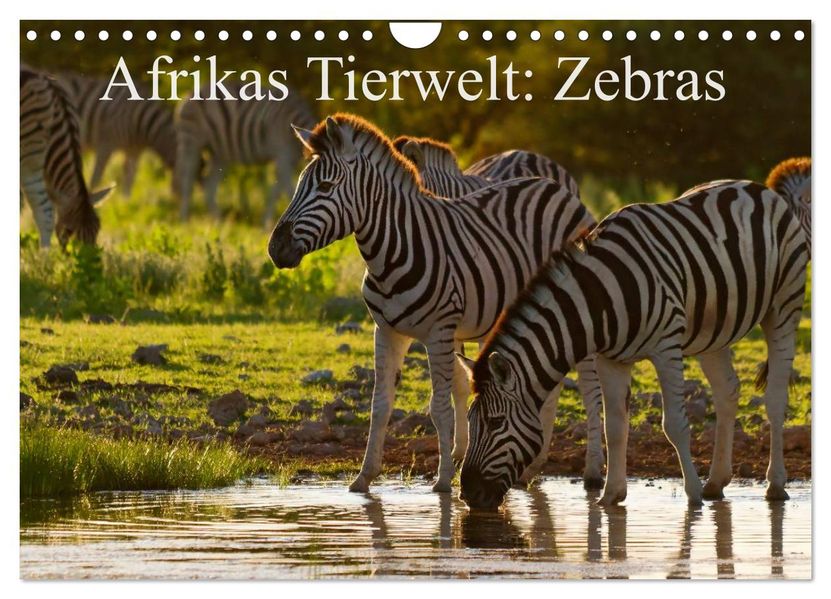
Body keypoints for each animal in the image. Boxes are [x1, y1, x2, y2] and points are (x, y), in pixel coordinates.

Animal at [174, 84, 315, 225]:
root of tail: (188, 95)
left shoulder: (291, 160)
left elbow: (276, 192)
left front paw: (267, 222)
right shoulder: (283, 155)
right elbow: (288, 190)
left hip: (219, 153)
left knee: (209, 185)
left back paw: (218, 221)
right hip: (191, 139)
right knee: (187, 179)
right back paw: (184, 220)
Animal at [457, 180, 808, 509]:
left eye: (496, 422)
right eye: (471, 421)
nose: (468, 494)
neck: (598, 298)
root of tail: (756, 187)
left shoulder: (666, 347)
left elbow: (674, 424)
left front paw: (692, 497)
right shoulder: (610, 359)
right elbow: (614, 427)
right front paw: (610, 495)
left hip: (783, 308)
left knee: (775, 398)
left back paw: (774, 485)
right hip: (713, 331)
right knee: (727, 392)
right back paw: (716, 482)